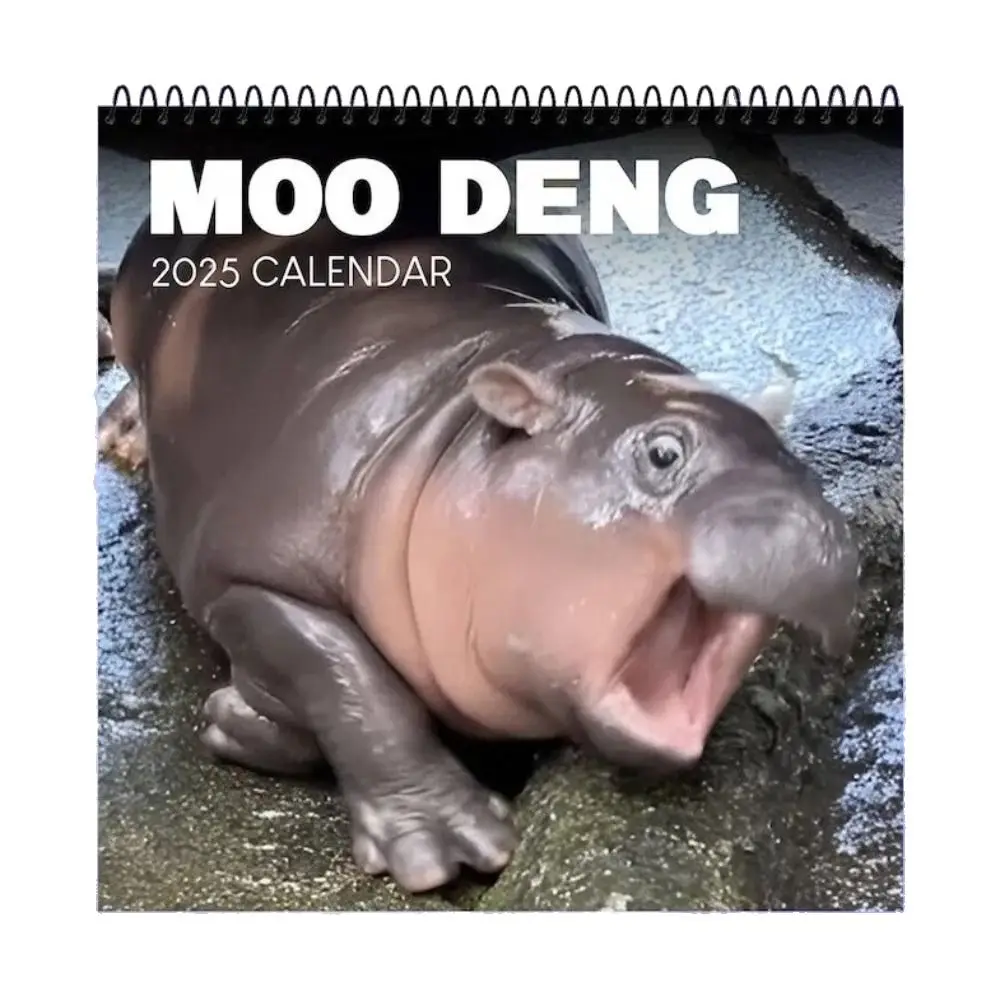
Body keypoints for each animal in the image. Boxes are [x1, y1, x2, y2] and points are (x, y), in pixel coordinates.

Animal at [97, 218, 860, 893]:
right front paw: (447, 845)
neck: (453, 422)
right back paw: (126, 438)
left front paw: (239, 721)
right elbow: (350, 675)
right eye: (663, 451)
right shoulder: (247, 574)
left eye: (792, 456)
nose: (820, 528)